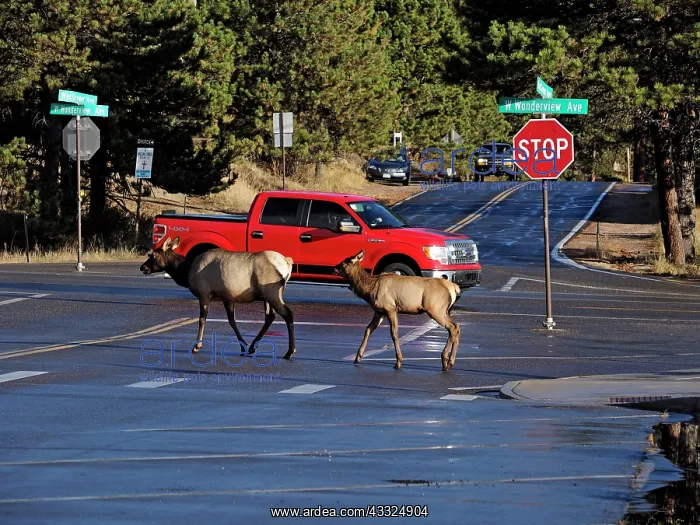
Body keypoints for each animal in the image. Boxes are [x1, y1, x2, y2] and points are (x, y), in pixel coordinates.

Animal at [139, 236, 296, 360]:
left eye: (153, 255)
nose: (142, 267)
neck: (186, 271)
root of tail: (287, 262)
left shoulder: (204, 294)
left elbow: (202, 319)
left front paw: (197, 346)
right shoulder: (227, 297)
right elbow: (232, 321)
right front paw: (243, 346)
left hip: (272, 292)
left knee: (288, 314)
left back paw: (290, 351)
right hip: (267, 296)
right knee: (270, 317)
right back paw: (253, 346)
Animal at [333, 250, 461, 372]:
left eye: (344, 263)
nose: (334, 269)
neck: (370, 289)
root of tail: (455, 288)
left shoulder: (391, 308)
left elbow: (394, 333)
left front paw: (398, 361)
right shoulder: (380, 312)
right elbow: (368, 329)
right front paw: (358, 356)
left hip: (435, 308)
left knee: (452, 327)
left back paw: (446, 361)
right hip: (444, 310)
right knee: (457, 327)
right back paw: (450, 362)